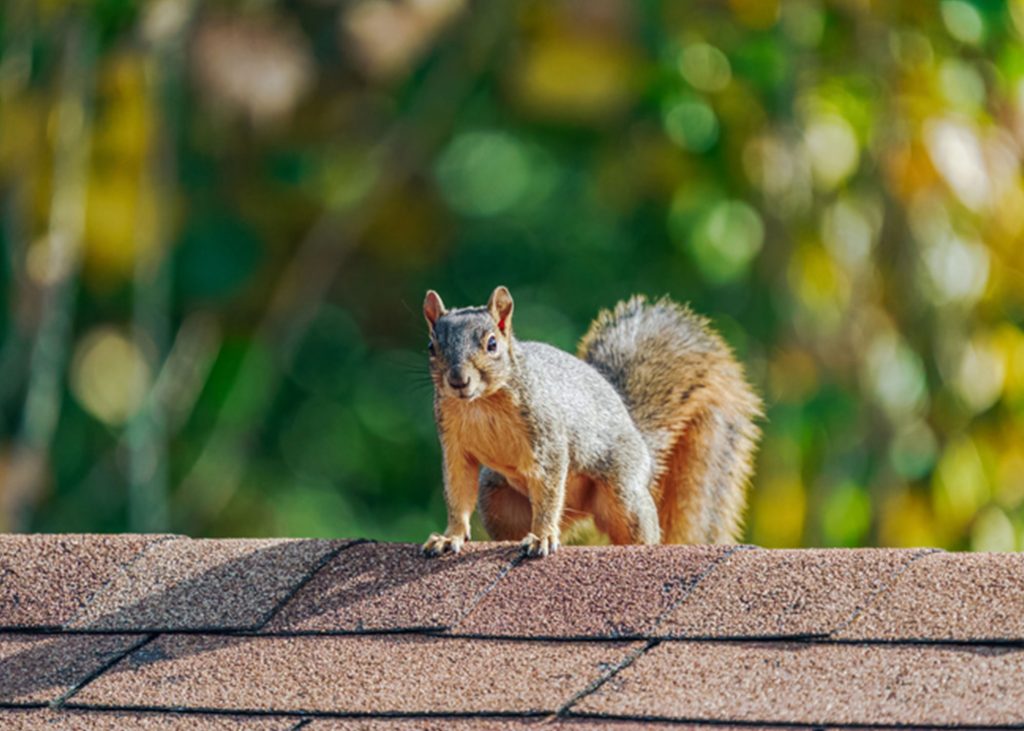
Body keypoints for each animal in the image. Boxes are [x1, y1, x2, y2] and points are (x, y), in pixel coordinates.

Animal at [421, 286, 762, 558]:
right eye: (431, 347)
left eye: (492, 344)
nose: (458, 381)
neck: (481, 404)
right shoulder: (454, 445)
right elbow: (457, 492)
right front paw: (450, 537)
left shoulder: (548, 436)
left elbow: (548, 487)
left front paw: (542, 537)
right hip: (497, 501)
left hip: (623, 492)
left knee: (637, 527)